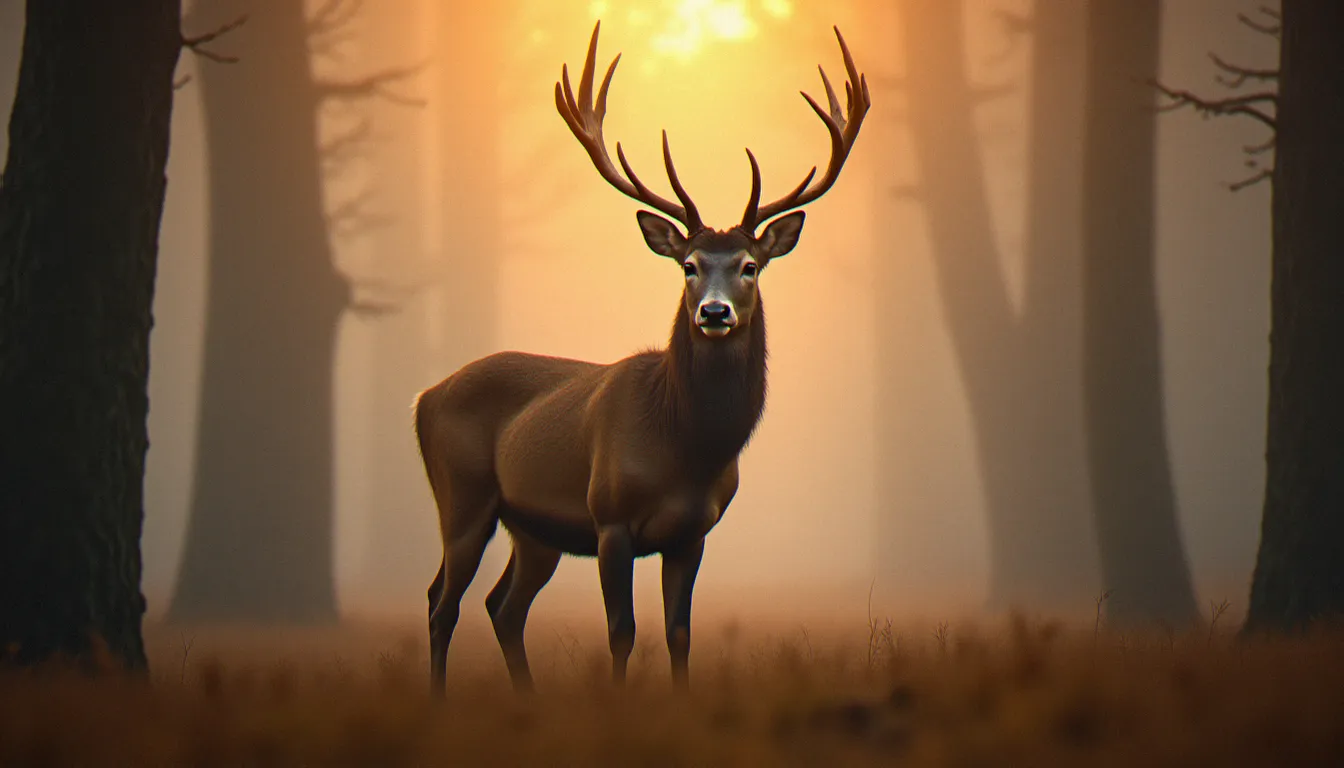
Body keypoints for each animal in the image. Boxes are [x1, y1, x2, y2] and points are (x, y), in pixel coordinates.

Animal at [415, 20, 869, 695]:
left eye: (750, 266)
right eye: (688, 266)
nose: (714, 313)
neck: (684, 448)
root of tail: (424, 397)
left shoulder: (693, 532)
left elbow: (679, 633)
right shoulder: (610, 519)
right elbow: (621, 631)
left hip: (533, 529)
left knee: (502, 606)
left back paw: (526, 700)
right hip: (463, 495)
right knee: (442, 603)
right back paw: (440, 700)